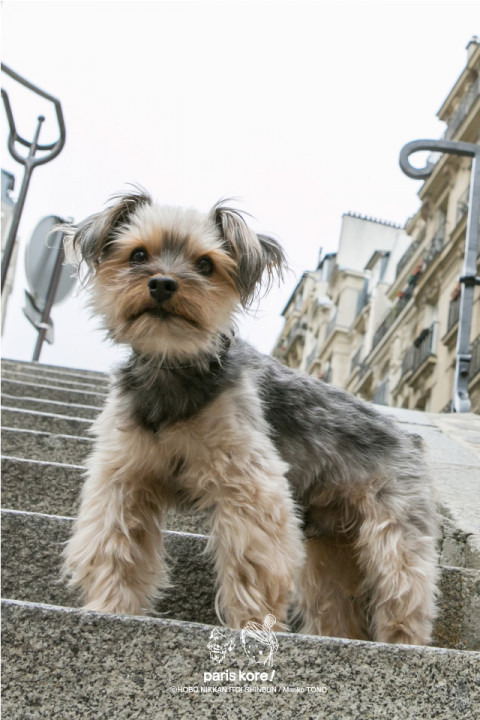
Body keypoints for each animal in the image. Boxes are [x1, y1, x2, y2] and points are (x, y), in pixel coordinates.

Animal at [62, 188, 439, 644]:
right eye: (137, 255)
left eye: (205, 264)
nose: (163, 283)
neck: (175, 366)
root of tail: (410, 438)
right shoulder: (125, 480)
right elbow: (116, 546)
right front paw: (110, 608)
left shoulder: (248, 483)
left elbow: (253, 561)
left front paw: (252, 627)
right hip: (331, 544)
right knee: (335, 599)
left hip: (394, 528)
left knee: (403, 587)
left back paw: (405, 642)